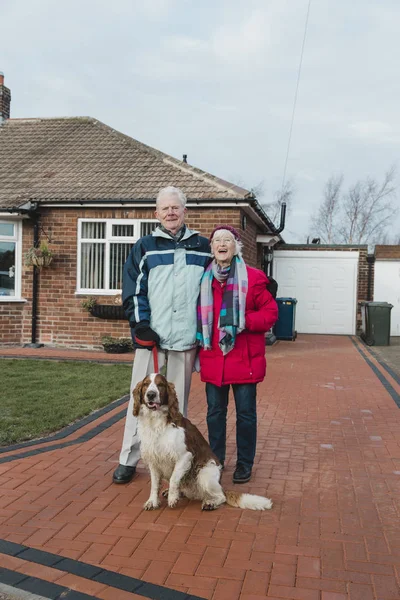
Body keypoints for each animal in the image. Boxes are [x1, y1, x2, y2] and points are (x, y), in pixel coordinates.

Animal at [133, 376, 274, 510]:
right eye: (146, 384)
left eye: (160, 385)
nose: (151, 394)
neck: (156, 422)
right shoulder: (153, 459)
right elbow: (154, 485)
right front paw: (152, 502)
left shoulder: (185, 456)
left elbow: (174, 478)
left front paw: (172, 498)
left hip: (204, 473)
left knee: (221, 496)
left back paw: (210, 503)